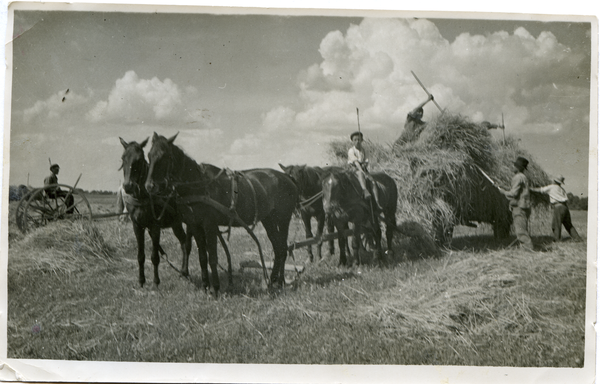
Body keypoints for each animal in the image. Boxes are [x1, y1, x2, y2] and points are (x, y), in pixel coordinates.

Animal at [118, 138, 191, 288]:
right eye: (123, 158)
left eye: (139, 159)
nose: (128, 186)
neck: (143, 196)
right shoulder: (137, 226)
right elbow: (140, 256)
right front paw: (141, 280)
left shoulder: (155, 227)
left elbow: (155, 256)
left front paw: (156, 282)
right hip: (175, 223)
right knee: (182, 242)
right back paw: (182, 272)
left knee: (187, 244)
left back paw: (186, 272)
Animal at [146, 133, 300, 292]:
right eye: (149, 155)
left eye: (165, 156)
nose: (150, 186)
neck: (199, 185)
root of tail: (288, 178)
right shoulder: (195, 225)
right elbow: (203, 257)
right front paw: (205, 285)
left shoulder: (209, 225)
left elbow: (213, 257)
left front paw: (215, 288)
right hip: (269, 220)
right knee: (278, 248)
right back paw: (275, 280)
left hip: (283, 219)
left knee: (283, 248)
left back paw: (278, 281)